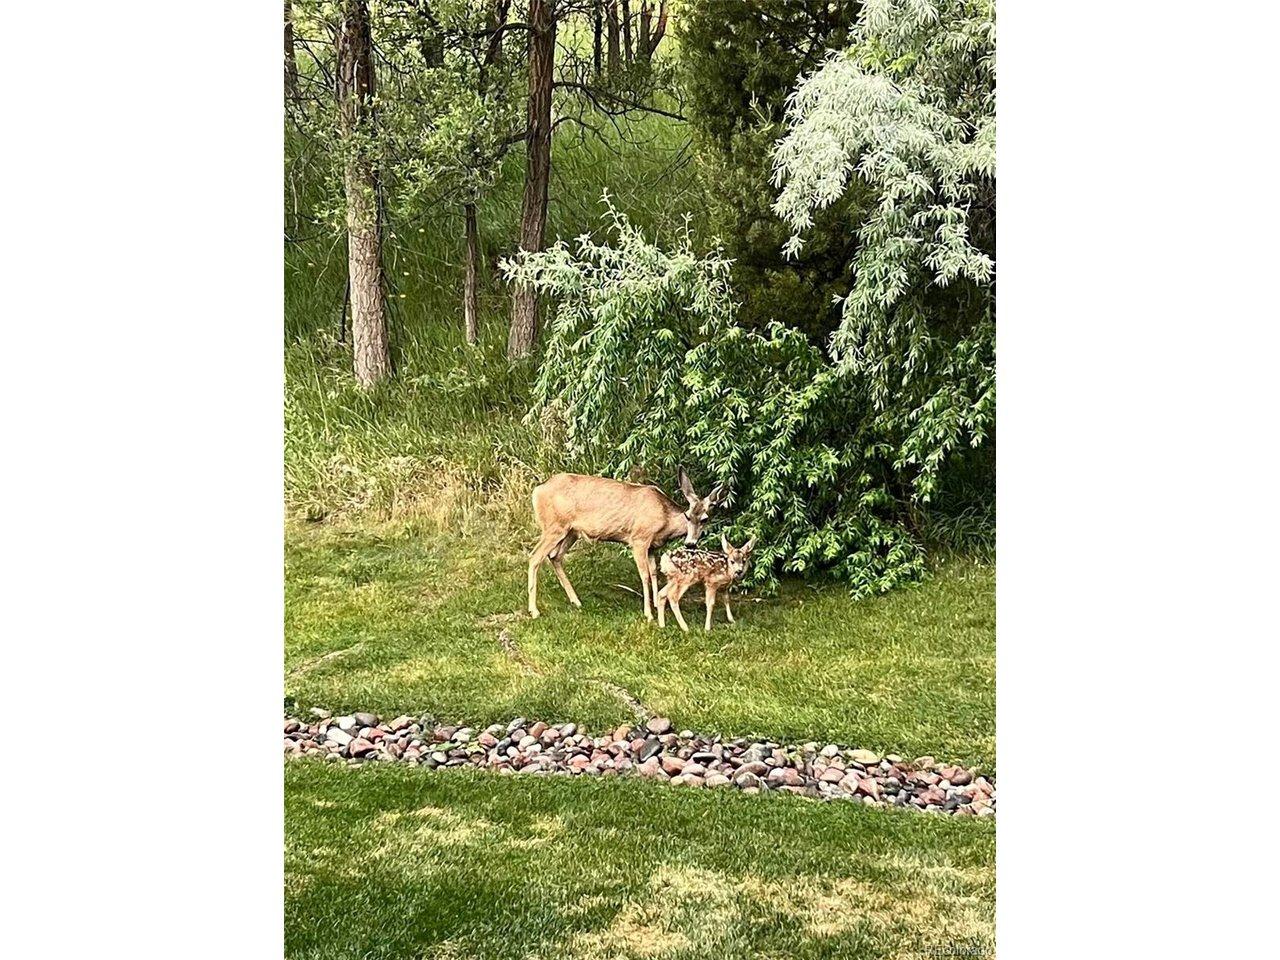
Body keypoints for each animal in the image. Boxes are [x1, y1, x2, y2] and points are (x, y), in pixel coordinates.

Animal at [527, 467, 728, 621]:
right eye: (687, 516)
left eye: (705, 519)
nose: (690, 543)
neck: (664, 519)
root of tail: (537, 491)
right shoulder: (639, 539)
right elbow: (644, 575)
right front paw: (648, 613)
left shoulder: (653, 546)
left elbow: (654, 573)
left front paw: (656, 604)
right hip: (554, 526)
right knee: (535, 557)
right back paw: (534, 611)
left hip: (571, 531)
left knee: (555, 556)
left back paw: (576, 601)